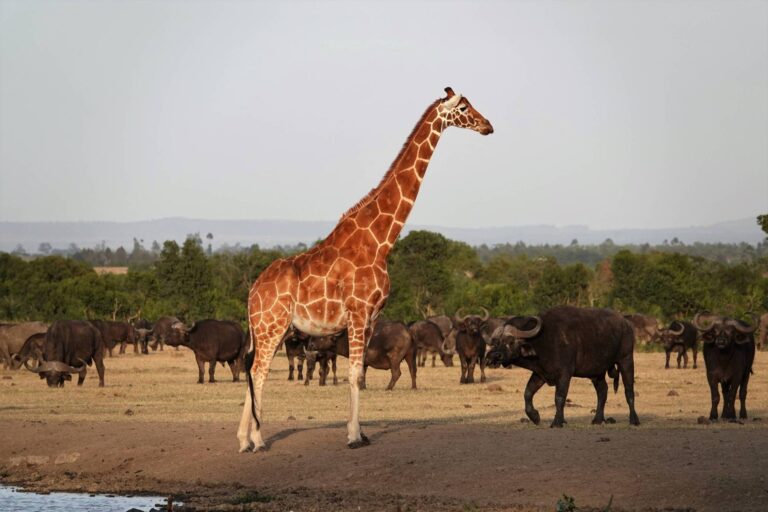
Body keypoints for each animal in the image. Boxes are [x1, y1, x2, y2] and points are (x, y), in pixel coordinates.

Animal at [237, 88, 496, 452]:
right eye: (463, 107)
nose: (488, 126)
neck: (381, 241)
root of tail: (252, 292)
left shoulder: (372, 317)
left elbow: (360, 374)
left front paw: (360, 432)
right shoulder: (358, 313)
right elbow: (353, 373)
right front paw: (353, 436)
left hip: (273, 329)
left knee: (251, 367)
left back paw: (244, 439)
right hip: (270, 326)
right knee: (258, 371)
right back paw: (258, 440)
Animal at [488, 304, 640, 428]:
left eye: (510, 341)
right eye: (496, 341)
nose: (493, 356)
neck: (543, 341)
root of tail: (626, 323)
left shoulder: (564, 374)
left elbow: (559, 397)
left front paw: (557, 421)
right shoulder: (540, 373)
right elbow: (527, 393)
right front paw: (535, 417)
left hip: (626, 359)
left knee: (629, 390)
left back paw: (634, 420)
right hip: (597, 372)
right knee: (602, 391)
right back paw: (597, 419)